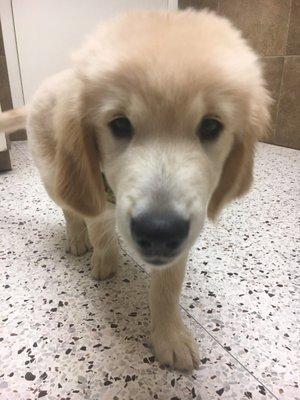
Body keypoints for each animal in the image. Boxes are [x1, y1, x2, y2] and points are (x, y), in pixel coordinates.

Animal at [0, 9, 270, 372]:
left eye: (211, 126)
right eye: (119, 124)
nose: (158, 231)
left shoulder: (183, 231)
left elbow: (167, 289)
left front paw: (170, 335)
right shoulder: (96, 190)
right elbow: (101, 230)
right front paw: (105, 260)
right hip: (55, 170)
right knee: (70, 208)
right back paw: (77, 238)